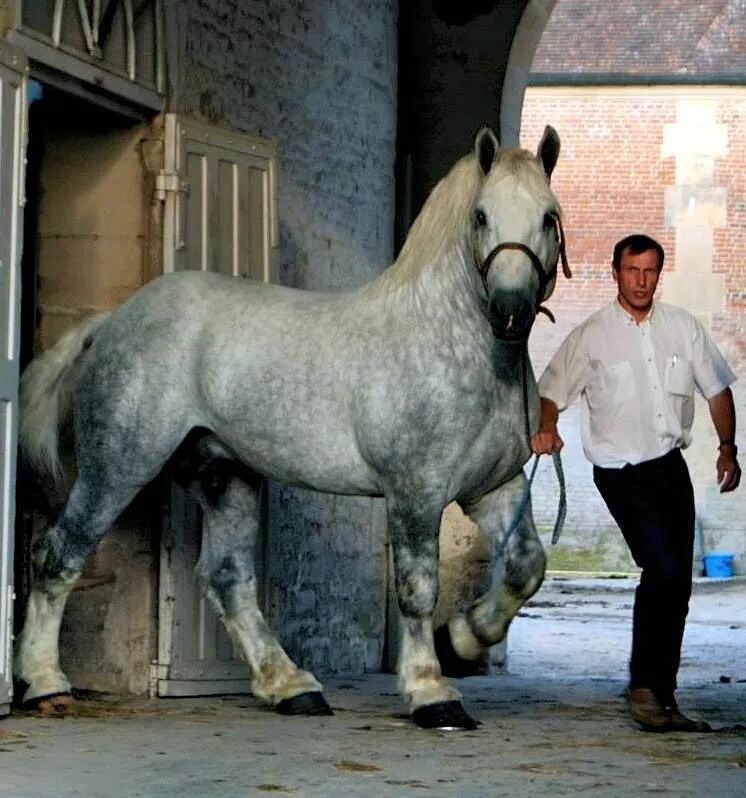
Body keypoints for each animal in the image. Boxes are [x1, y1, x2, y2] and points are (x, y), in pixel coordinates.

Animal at [14, 125, 568, 732]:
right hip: (119, 466)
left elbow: (525, 568)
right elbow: (418, 588)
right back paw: (44, 686)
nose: (511, 312)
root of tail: (112, 322)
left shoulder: (494, 488)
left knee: (228, 578)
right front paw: (432, 692)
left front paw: (464, 638)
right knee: (59, 554)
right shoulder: (415, 491)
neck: (451, 345)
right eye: (480, 216)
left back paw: (292, 687)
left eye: (549, 216)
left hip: (222, 474)